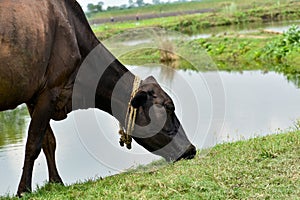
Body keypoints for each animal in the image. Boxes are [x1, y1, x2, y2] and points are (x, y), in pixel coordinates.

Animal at [0, 0, 197, 196]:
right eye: (169, 107)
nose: (191, 149)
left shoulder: (36, 97)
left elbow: (49, 141)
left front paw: (56, 182)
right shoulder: (50, 91)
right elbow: (33, 143)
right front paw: (23, 190)